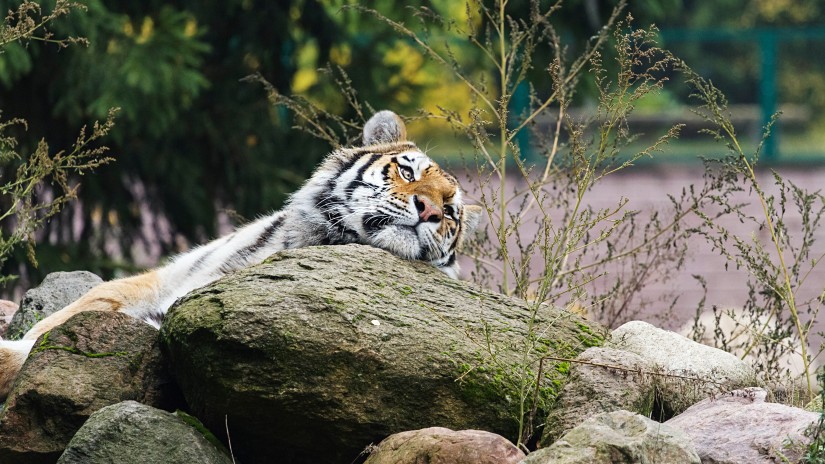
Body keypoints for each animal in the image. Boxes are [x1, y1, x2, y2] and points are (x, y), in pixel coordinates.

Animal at [0, 110, 482, 400]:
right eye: (407, 172)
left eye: (450, 213)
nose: (431, 211)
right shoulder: (165, 278)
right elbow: (77, 308)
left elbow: (24, 355)